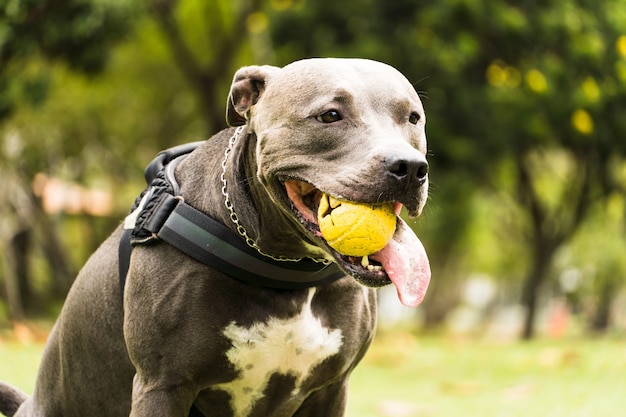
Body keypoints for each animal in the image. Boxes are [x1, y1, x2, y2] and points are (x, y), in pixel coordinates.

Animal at [0, 57, 428, 416]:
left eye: (412, 117)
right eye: (330, 115)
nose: (409, 167)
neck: (287, 270)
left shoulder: (330, 390)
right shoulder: (162, 386)